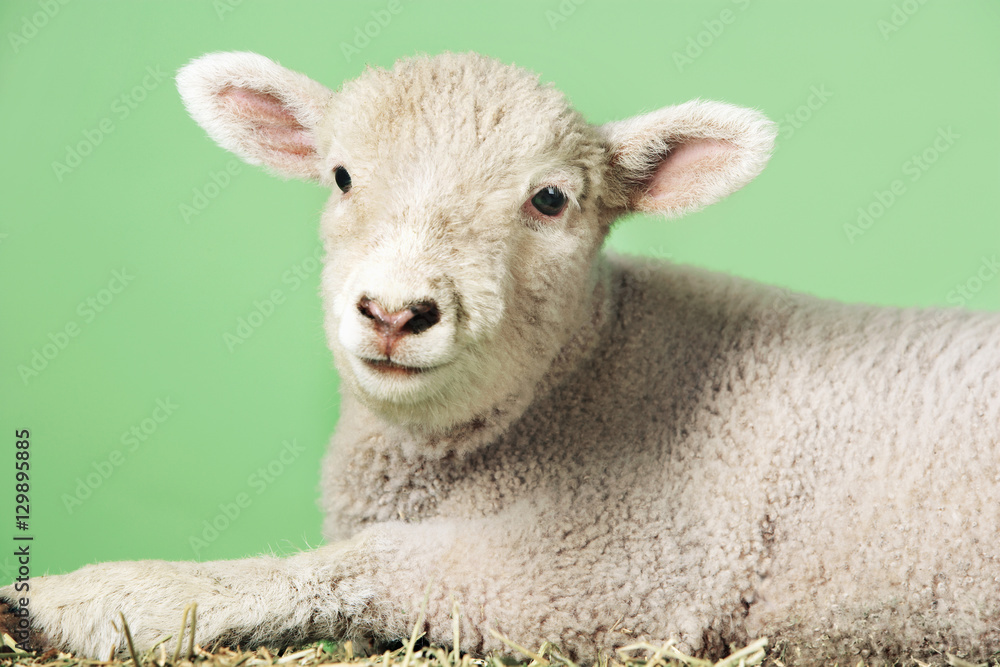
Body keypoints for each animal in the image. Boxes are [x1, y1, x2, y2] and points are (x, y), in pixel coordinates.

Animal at [2, 50, 999, 666]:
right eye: (341, 175)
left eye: (550, 199)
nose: (394, 311)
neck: (582, 372)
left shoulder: (623, 560)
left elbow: (368, 563)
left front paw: (102, 595)